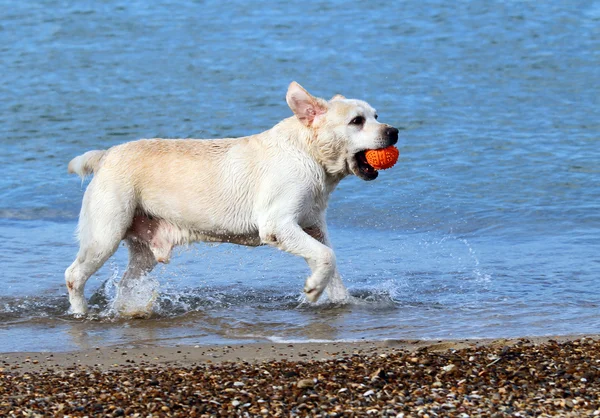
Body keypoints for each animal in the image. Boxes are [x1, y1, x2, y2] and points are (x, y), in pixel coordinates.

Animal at [65, 82, 398, 314]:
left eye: (376, 116)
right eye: (356, 121)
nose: (394, 131)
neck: (309, 153)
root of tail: (105, 155)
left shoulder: (313, 226)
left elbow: (330, 261)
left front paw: (342, 299)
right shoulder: (277, 225)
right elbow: (327, 256)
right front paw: (313, 289)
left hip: (143, 249)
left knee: (126, 283)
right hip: (105, 233)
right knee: (74, 275)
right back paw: (81, 313)